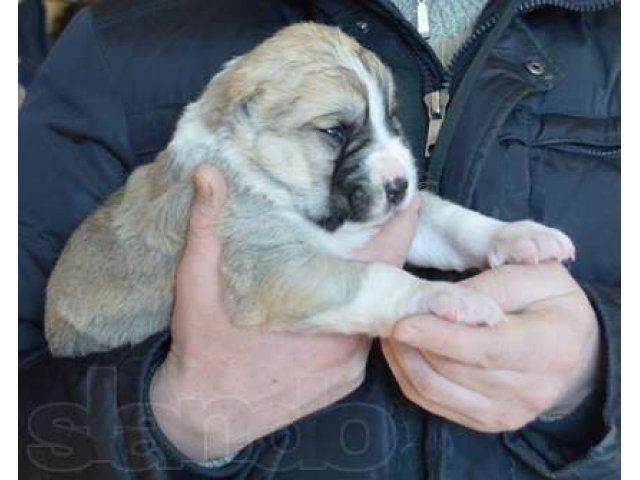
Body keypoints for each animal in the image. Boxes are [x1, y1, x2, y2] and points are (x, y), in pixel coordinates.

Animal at [45, 24, 576, 358]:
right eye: (336, 132)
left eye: (392, 118)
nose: (400, 184)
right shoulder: (281, 270)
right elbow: (380, 280)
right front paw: (447, 299)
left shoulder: (388, 223)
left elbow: (453, 221)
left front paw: (518, 236)